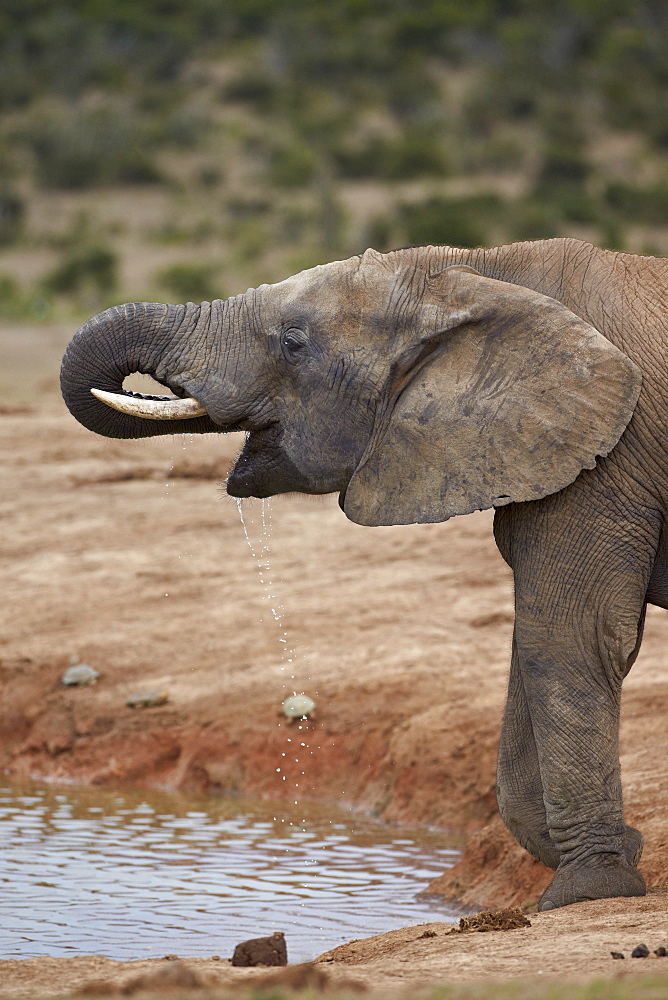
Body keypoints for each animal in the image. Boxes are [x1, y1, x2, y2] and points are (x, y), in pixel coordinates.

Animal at [61, 238, 668, 912]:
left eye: (293, 342)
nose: (638, 840)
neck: (480, 269)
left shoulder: (610, 456)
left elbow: (570, 640)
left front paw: (589, 894)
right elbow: (535, 645)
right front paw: (626, 854)